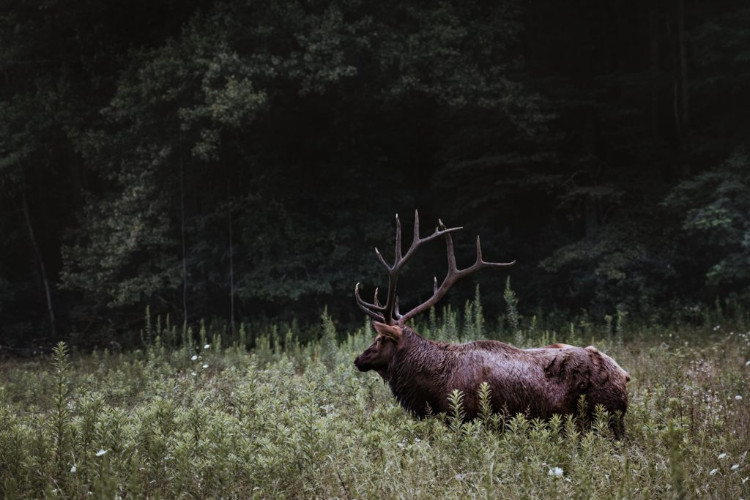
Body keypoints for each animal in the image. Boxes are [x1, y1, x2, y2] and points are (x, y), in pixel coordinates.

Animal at [356, 211, 632, 434]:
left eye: (380, 339)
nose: (358, 359)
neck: (432, 387)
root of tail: (625, 375)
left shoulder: (466, 417)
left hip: (604, 418)